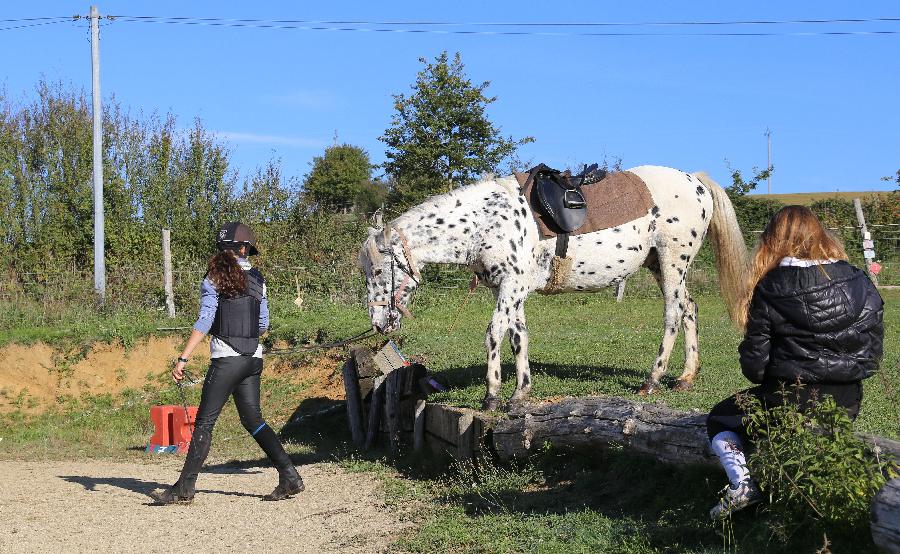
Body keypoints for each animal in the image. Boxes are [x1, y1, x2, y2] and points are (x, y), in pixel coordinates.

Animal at [356, 165, 744, 410]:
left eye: (379, 269)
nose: (378, 324)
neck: (486, 222)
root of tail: (695, 181)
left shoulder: (511, 287)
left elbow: (493, 334)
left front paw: (492, 395)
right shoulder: (509, 291)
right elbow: (518, 336)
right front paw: (520, 393)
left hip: (672, 262)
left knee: (673, 316)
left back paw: (653, 379)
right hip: (662, 267)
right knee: (690, 309)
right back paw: (686, 377)